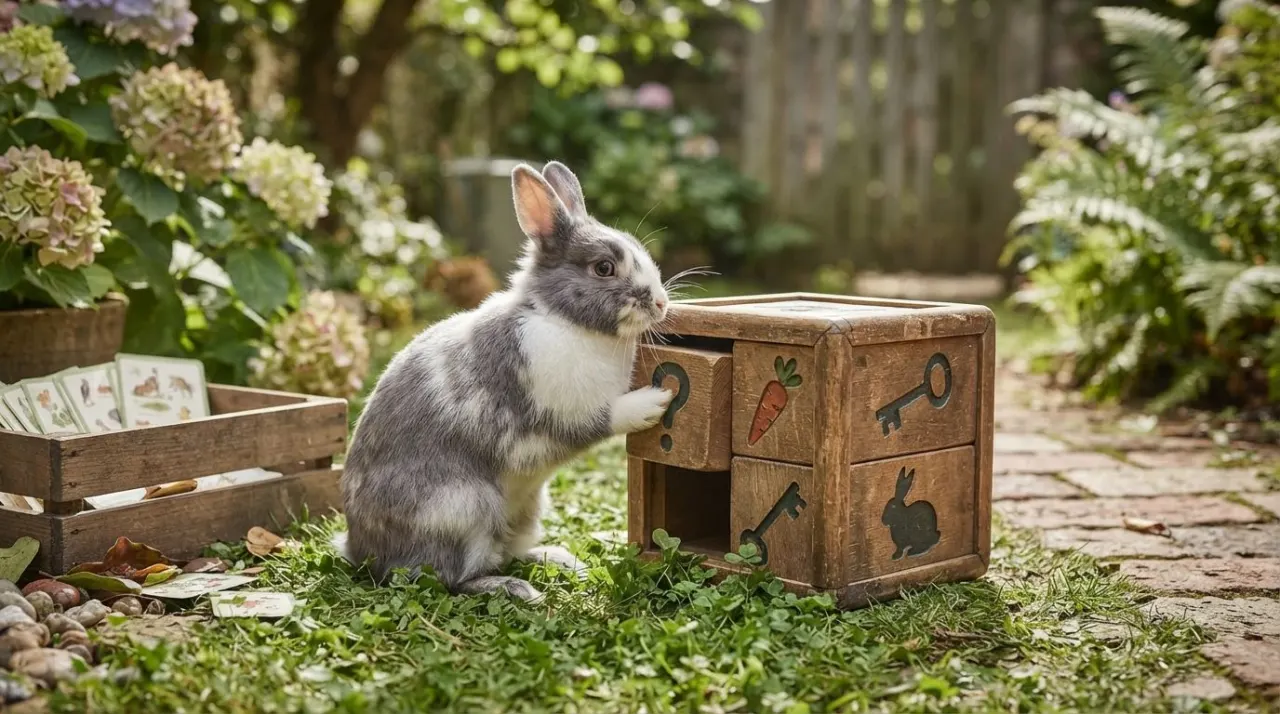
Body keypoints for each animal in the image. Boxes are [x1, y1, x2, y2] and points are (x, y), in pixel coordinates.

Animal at [331, 161, 675, 602]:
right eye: (603, 268)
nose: (662, 302)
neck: (561, 319)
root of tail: (360, 549)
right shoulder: (568, 409)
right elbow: (609, 416)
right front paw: (655, 401)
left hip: (527, 508)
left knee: (509, 551)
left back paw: (560, 560)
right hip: (465, 510)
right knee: (453, 578)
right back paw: (518, 589)